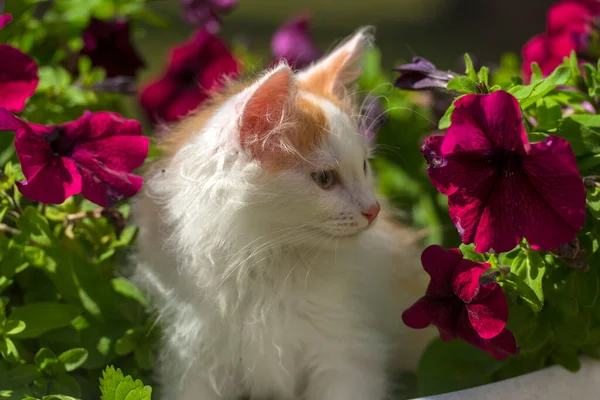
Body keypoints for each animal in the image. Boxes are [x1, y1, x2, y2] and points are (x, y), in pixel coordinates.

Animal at [134, 25, 434, 400]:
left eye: (364, 166)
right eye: (324, 179)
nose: (373, 210)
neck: (266, 265)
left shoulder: (345, 351)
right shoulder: (195, 357)